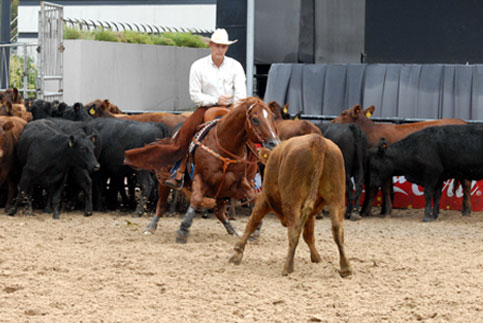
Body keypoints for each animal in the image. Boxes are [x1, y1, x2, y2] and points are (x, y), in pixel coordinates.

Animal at [125, 97, 282, 244]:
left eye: (272, 117)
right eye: (255, 119)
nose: (274, 144)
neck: (225, 145)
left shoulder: (237, 184)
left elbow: (254, 198)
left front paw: (256, 229)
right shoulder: (201, 178)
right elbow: (196, 199)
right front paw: (183, 230)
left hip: (220, 192)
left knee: (219, 212)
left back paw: (232, 230)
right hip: (164, 182)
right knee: (161, 205)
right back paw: (150, 227)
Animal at [231, 134, 352, 278]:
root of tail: (317, 140)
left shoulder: (265, 197)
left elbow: (252, 222)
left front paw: (237, 252)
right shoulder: (309, 214)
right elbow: (308, 235)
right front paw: (316, 257)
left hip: (292, 201)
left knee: (294, 230)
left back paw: (287, 267)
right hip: (336, 197)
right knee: (337, 229)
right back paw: (345, 267)